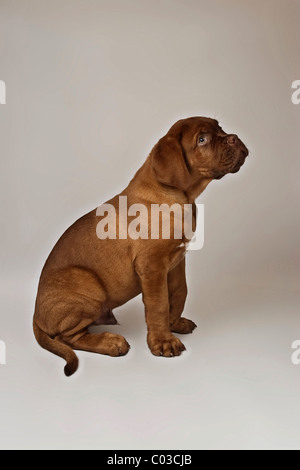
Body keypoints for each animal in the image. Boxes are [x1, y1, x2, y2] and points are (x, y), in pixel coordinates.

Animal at [32, 116, 248, 374]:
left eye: (220, 128)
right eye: (202, 140)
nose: (234, 137)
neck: (179, 197)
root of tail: (35, 316)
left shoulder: (177, 261)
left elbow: (179, 293)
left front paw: (175, 324)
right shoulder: (152, 265)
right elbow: (159, 305)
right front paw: (163, 342)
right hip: (87, 283)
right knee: (67, 338)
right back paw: (110, 342)